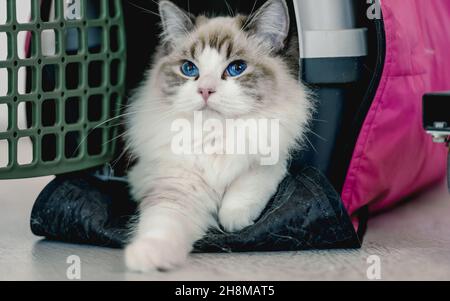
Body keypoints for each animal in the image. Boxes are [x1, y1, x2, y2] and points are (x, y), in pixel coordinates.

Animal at [124, 0, 312, 270]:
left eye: (237, 68)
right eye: (188, 68)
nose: (205, 90)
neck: (215, 136)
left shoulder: (272, 158)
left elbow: (246, 185)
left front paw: (235, 220)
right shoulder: (176, 188)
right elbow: (162, 225)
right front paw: (146, 258)